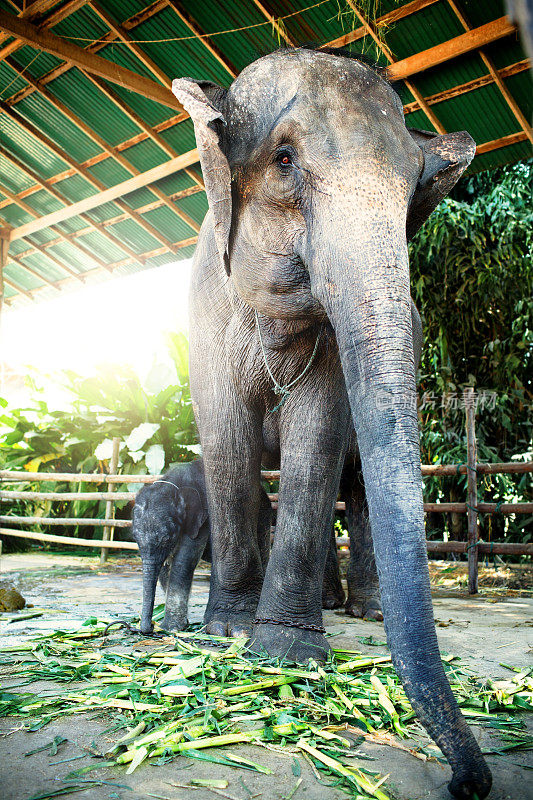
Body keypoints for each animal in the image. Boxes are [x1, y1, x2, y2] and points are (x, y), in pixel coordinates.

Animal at [131, 460, 210, 636]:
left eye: (167, 538)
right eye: (135, 538)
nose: (151, 626)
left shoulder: (203, 519)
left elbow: (183, 561)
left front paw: (171, 628)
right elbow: (164, 568)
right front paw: (182, 624)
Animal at [174, 47, 490, 796]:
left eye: (414, 188)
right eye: (284, 159)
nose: (467, 783)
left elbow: (314, 429)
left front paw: (285, 651)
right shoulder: (204, 313)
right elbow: (226, 436)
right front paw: (227, 633)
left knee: (358, 492)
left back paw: (361, 611)